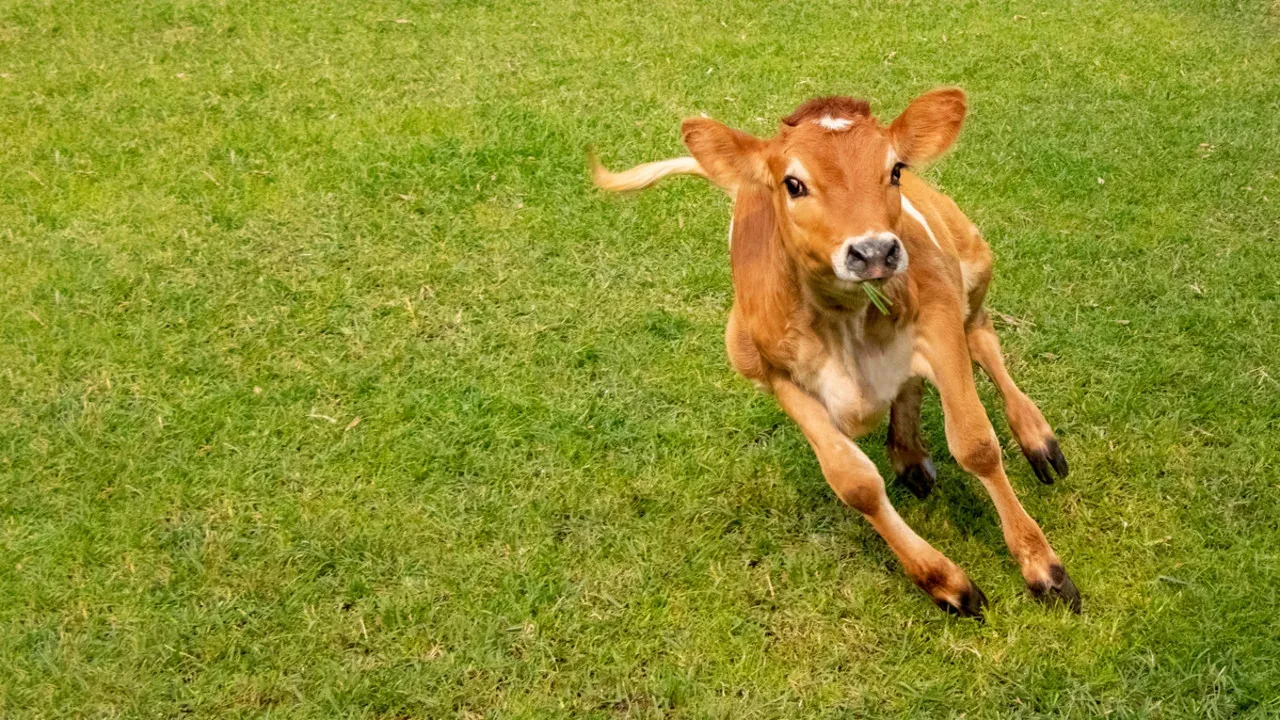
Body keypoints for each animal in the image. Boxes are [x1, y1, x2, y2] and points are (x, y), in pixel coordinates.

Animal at [591, 89, 1078, 617]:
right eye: (793, 183)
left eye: (895, 169)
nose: (874, 251)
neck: (847, 321)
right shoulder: (776, 372)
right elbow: (854, 482)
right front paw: (945, 583)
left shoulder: (940, 318)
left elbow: (976, 444)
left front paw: (1044, 568)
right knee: (909, 387)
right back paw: (909, 455)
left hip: (971, 257)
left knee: (983, 337)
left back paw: (1037, 439)